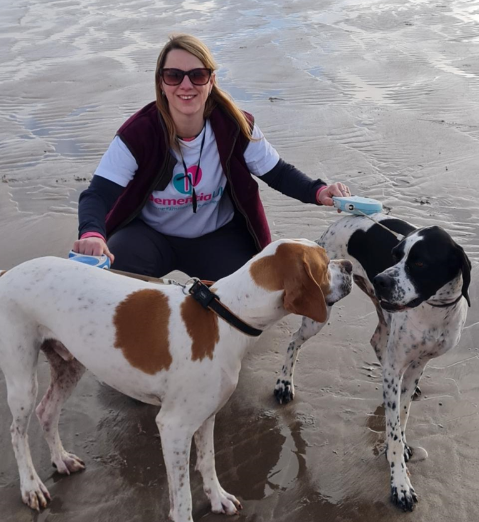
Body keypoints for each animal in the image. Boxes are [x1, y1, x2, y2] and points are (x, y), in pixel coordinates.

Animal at [0, 239, 352, 520]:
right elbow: (181, 498)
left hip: (69, 366)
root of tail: (7, 273)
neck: (226, 313)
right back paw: (30, 486)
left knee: (47, 411)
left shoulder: (206, 415)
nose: (349, 265)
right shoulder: (173, 427)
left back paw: (60, 459)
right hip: (22, 379)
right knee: (17, 432)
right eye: (325, 263)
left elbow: (208, 463)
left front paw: (218, 498)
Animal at [274, 213, 472, 510]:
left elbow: (401, 416)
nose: (380, 280)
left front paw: (401, 440)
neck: (434, 313)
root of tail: (344, 216)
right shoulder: (398, 366)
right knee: (293, 341)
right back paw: (284, 383)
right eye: (395, 255)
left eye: (420, 262)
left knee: (378, 343)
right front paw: (400, 484)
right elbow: (394, 434)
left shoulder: (416, 365)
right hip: (319, 312)